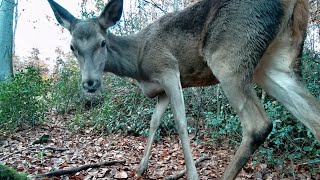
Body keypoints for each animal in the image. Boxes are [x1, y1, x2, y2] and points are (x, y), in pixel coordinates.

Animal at [47, 0, 320, 179]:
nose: (89, 83)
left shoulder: (168, 68)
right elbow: (154, 122)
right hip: (276, 62)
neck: (138, 62)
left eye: (102, 42)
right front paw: (141, 167)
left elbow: (180, 122)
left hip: (228, 54)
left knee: (258, 125)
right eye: (72, 47)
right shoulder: (161, 91)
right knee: (313, 117)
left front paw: (191, 174)